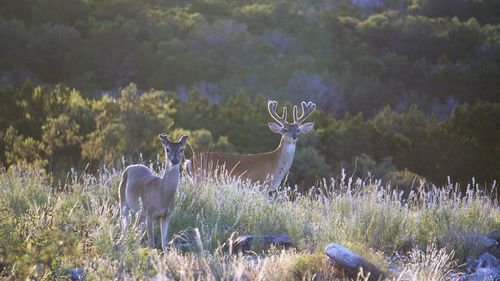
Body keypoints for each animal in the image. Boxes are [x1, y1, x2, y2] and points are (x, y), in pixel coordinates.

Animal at [186, 99, 314, 189]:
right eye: (285, 130)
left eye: (298, 130)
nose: (294, 136)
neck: (277, 165)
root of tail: (189, 162)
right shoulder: (262, 184)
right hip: (201, 179)